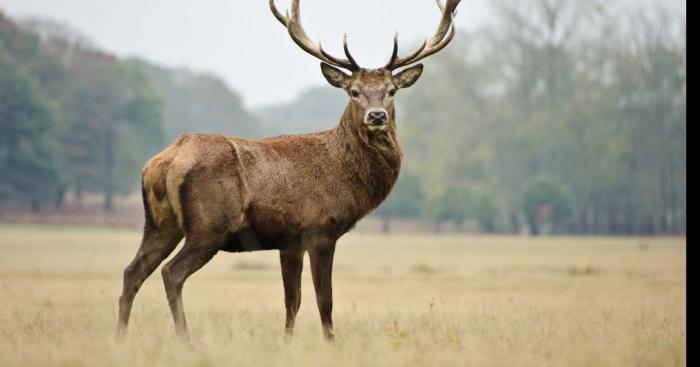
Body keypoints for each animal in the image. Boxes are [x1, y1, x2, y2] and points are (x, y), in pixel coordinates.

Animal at [117, 0, 462, 342]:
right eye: (353, 91)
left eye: (392, 90)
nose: (376, 116)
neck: (345, 175)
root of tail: (163, 161)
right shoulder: (319, 229)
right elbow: (325, 299)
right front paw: (330, 342)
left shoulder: (289, 240)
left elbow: (292, 300)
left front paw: (287, 342)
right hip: (209, 225)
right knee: (171, 272)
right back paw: (185, 339)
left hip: (161, 223)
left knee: (132, 271)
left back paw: (121, 336)